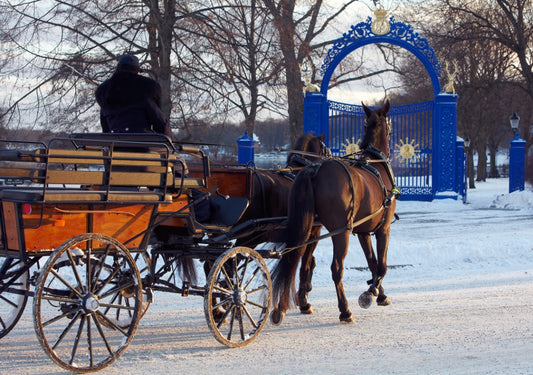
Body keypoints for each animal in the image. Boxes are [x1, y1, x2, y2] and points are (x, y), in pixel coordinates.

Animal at [270, 101, 400, 324]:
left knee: (293, 260)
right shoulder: (383, 229)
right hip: (340, 233)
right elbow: (382, 265)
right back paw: (344, 310)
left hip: (306, 230)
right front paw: (371, 292)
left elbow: (372, 263)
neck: (374, 162)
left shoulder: (363, 232)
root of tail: (314, 170)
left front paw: (379, 293)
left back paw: (283, 307)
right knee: (335, 269)